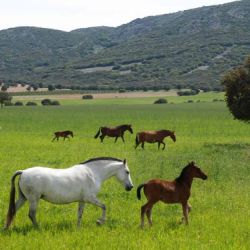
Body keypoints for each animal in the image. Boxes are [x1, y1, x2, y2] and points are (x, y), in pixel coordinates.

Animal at [4, 157, 133, 229]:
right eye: (127, 172)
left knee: (13, 210)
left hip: (23, 198)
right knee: (31, 214)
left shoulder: (82, 200)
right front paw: (99, 222)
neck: (93, 173)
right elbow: (104, 206)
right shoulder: (90, 198)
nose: (130, 187)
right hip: (33, 199)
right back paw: (38, 228)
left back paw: (6, 228)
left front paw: (78, 228)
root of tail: (23, 172)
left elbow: (80, 214)